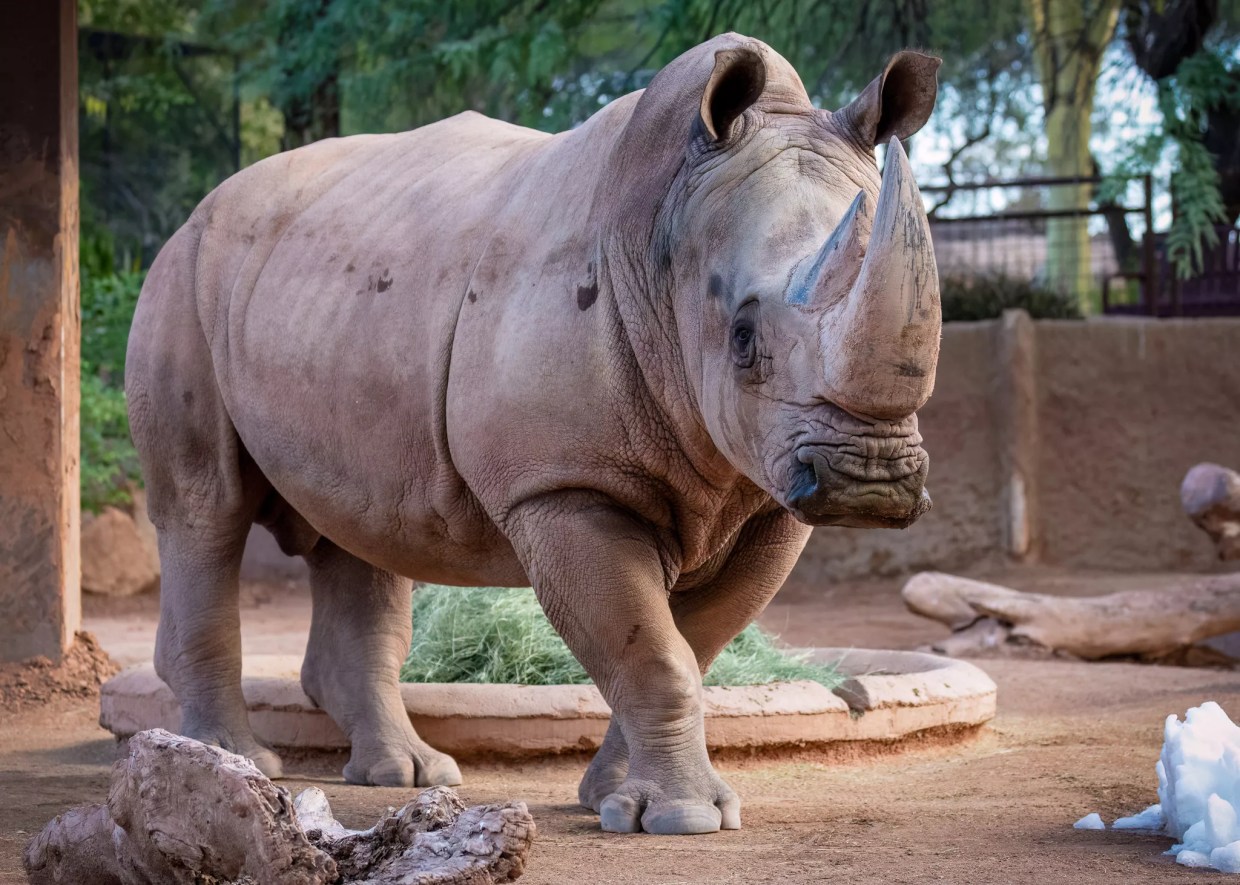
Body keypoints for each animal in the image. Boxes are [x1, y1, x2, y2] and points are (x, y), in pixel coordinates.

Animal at [126, 33, 941, 836]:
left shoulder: (767, 494)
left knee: (358, 527)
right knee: (207, 509)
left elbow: (690, 646)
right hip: (181, 277)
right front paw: (682, 817)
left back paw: (407, 773)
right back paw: (234, 761)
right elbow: (655, 652)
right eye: (742, 338)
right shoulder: (564, 484)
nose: (869, 481)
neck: (664, 235)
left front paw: (614, 799)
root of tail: (203, 207)